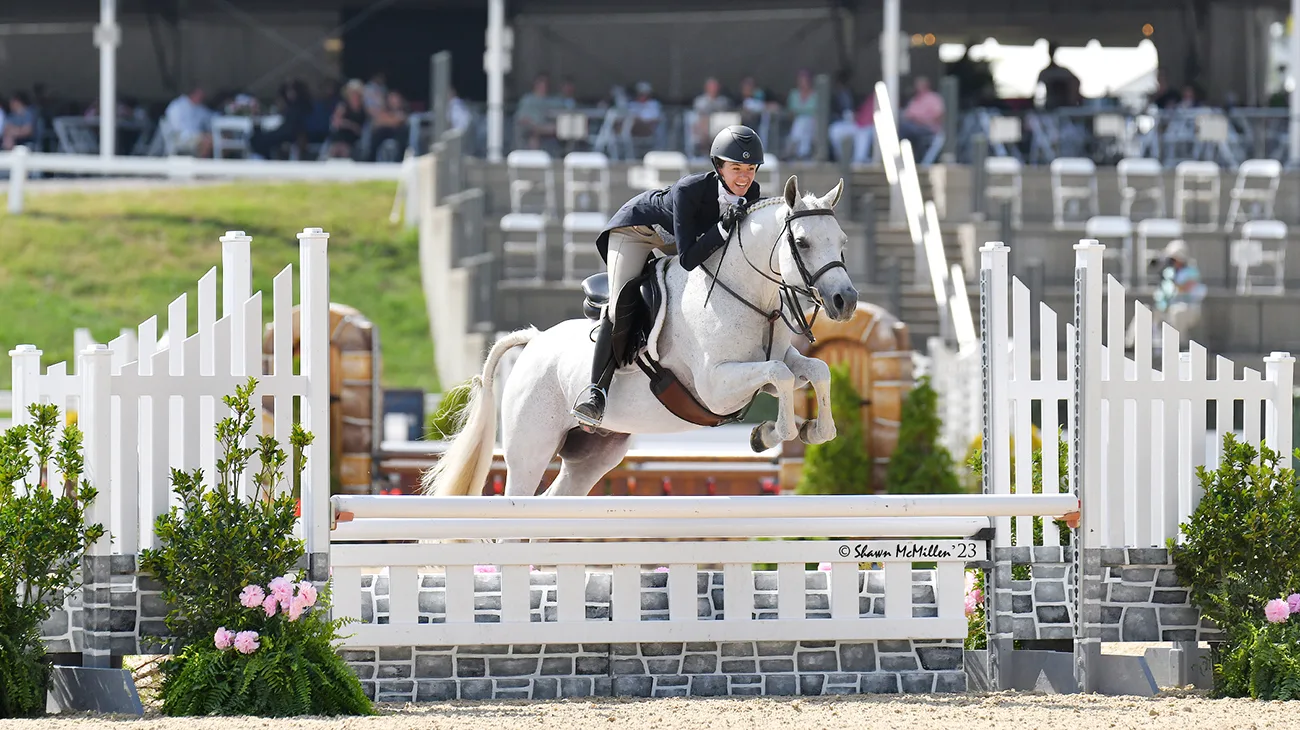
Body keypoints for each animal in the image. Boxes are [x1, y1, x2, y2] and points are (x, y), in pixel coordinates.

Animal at [421, 172, 857, 496]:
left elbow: (812, 371)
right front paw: (769, 434)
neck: (745, 293)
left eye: (842, 241)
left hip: (594, 453)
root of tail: (534, 341)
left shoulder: (770, 366)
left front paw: (814, 430)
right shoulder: (716, 386)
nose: (845, 301)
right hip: (530, 447)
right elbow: (780, 377)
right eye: (801, 242)